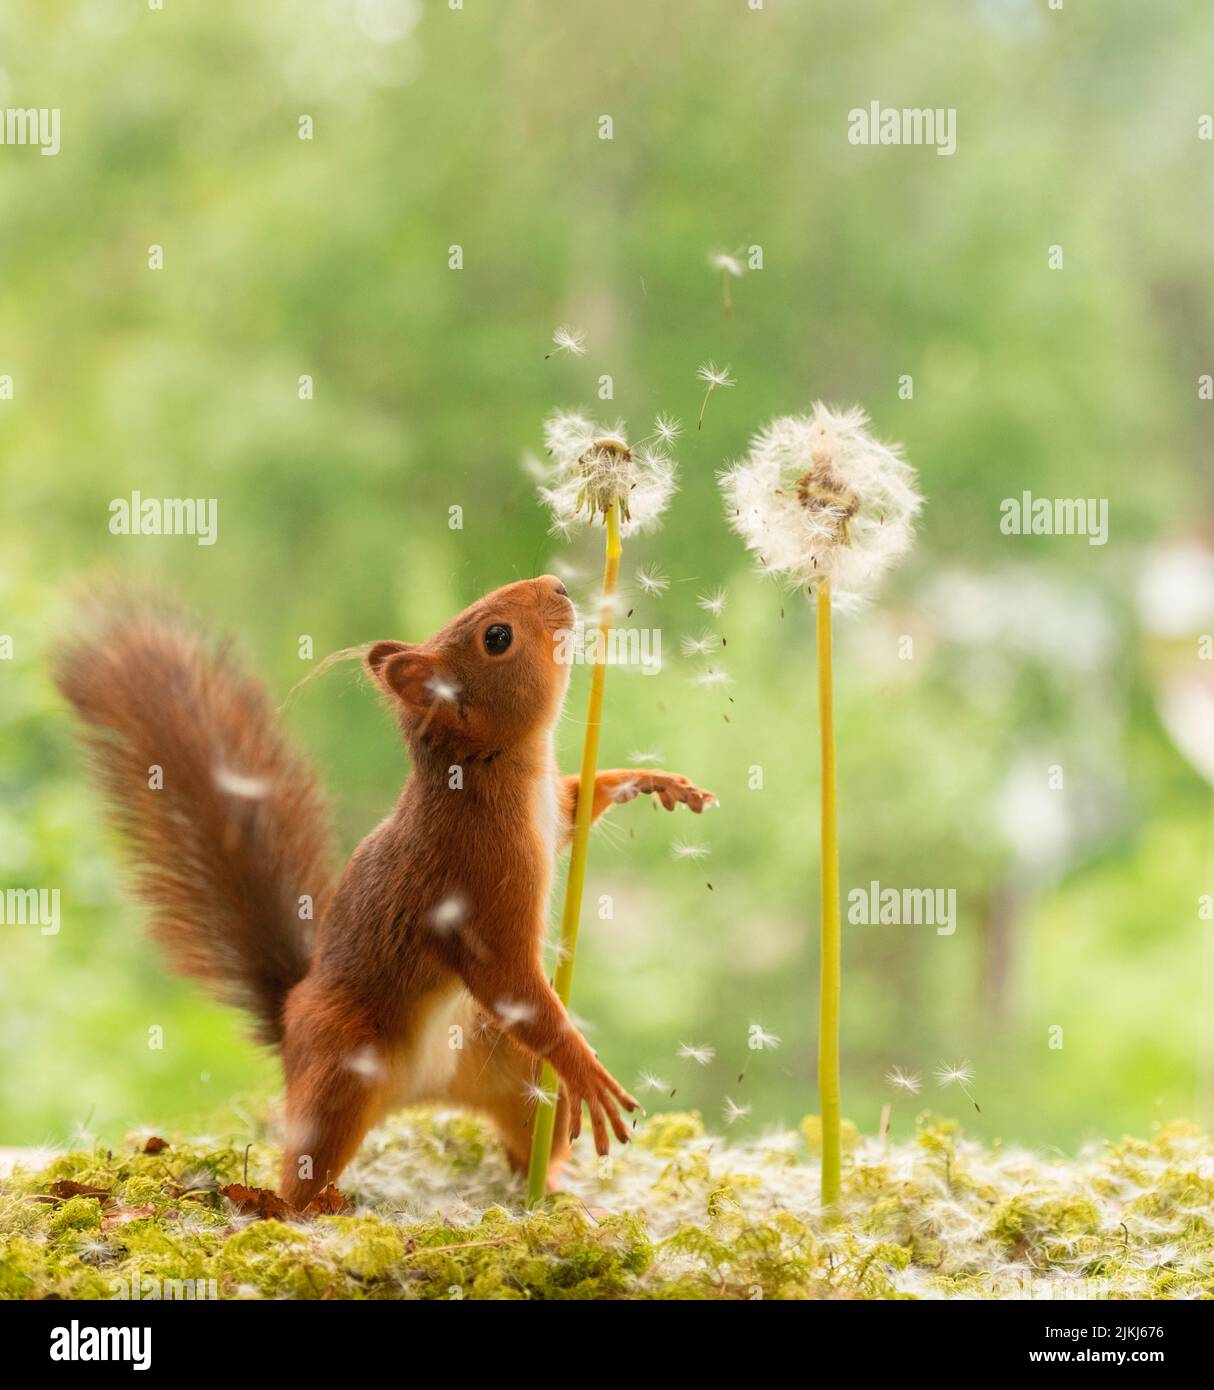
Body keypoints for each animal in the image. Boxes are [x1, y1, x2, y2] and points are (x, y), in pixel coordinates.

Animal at [57, 575, 717, 1206]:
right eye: (496, 637)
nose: (556, 585)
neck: (496, 768)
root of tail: (417, 1093)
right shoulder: (475, 885)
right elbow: (504, 976)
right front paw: (585, 1069)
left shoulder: (553, 812)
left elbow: (582, 800)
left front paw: (652, 779)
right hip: (340, 1068)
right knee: (308, 1161)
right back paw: (289, 1209)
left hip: (514, 1073)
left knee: (528, 1134)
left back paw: (552, 1189)